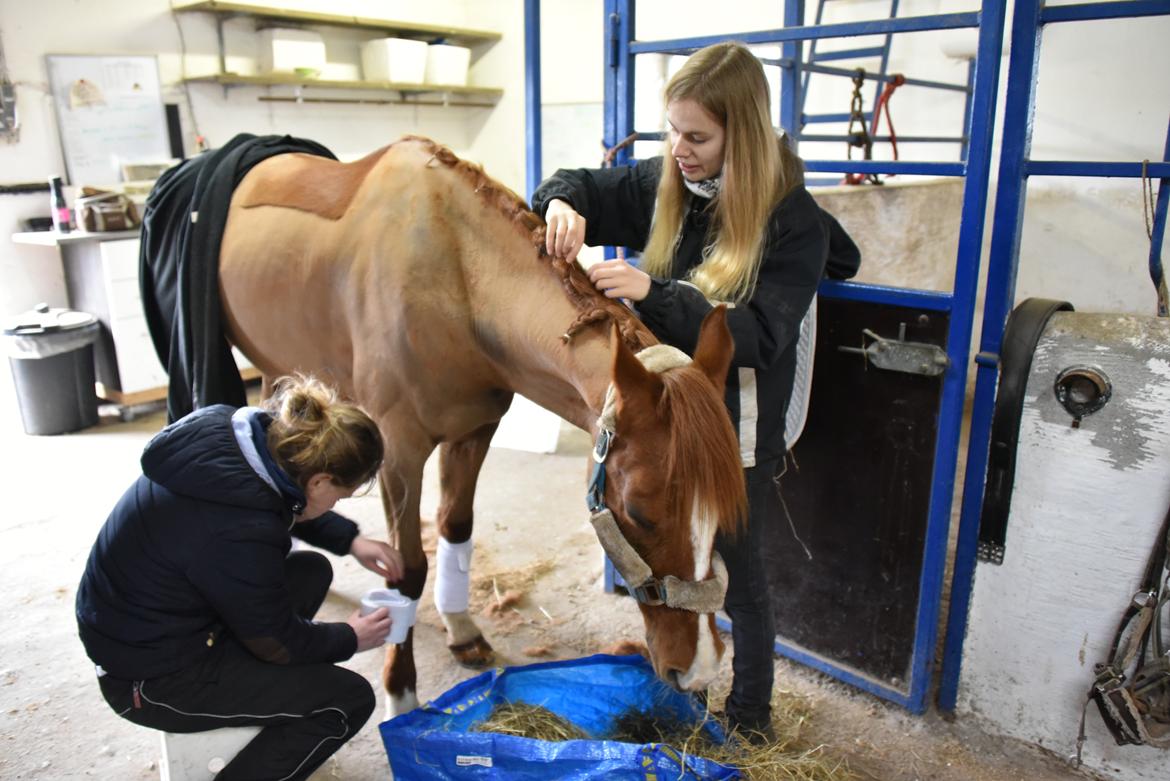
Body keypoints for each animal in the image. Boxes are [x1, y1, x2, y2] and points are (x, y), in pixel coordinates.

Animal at [215, 135, 744, 715]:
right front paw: (400, 692)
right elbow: (407, 570)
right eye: (638, 513)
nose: (701, 668)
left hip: (274, 365)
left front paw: (462, 630)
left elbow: (455, 526)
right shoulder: (398, 452)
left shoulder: (473, 432)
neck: (456, 279)